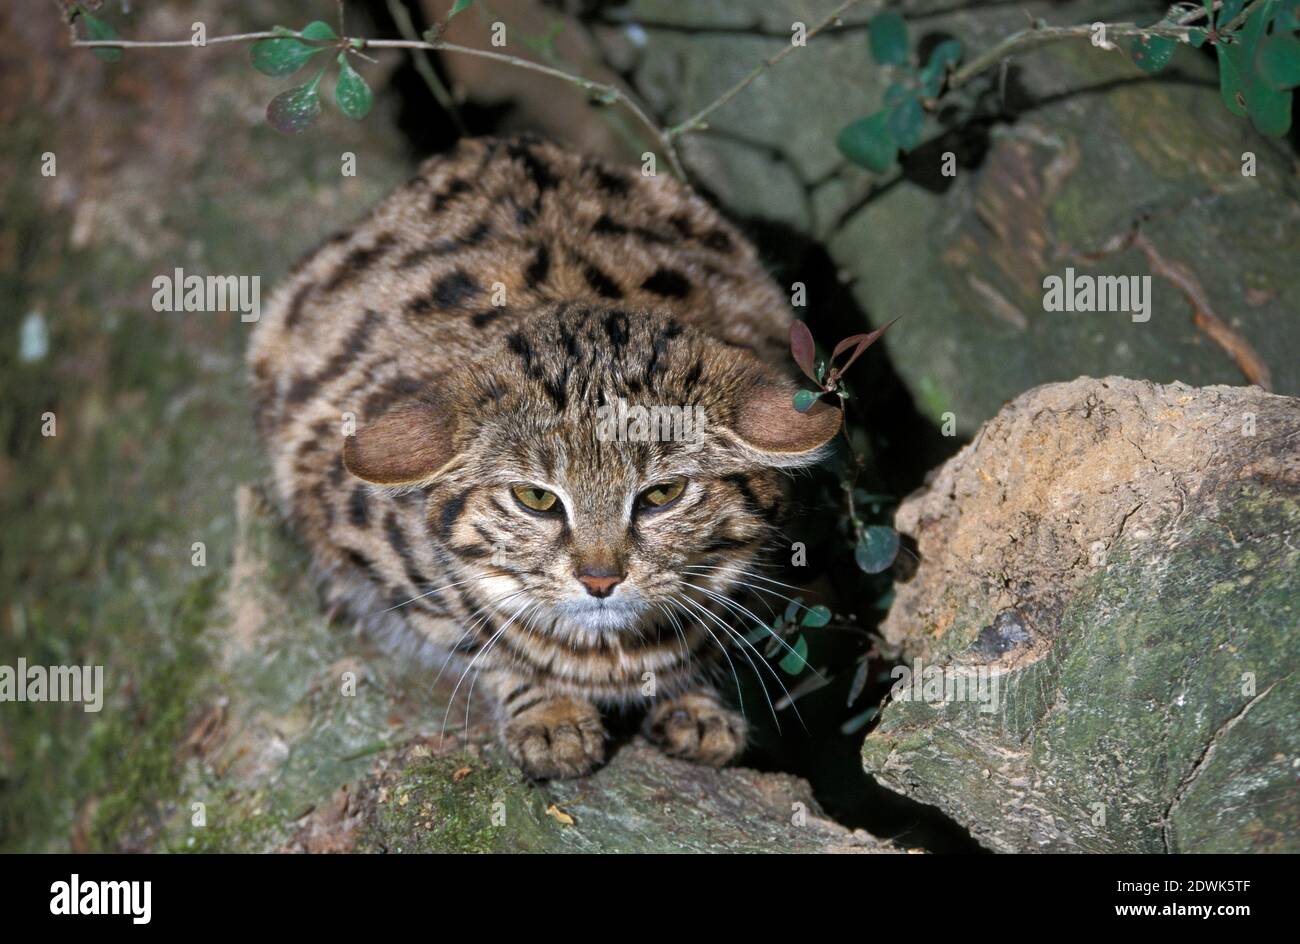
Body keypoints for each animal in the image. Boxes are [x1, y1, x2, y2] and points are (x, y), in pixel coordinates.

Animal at [246, 136, 837, 780]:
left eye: (662, 494)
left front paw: (694, 700)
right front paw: (550, 711)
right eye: (536, 499)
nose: (600, 579)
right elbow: (479, 640)